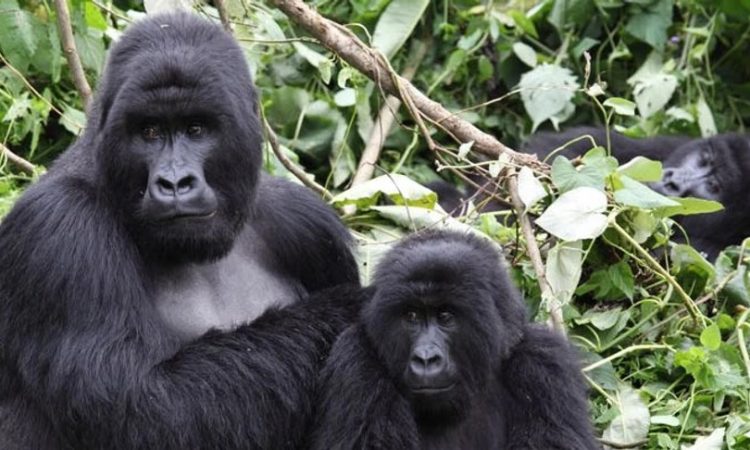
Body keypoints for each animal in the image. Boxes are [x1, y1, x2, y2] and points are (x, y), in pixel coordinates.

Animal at [0, 12, 364, 448]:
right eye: (150, 132)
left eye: (196, 129)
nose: (174, 182)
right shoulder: (58, 228)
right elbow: (148, 408)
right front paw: (352, 308)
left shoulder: (309, 224)